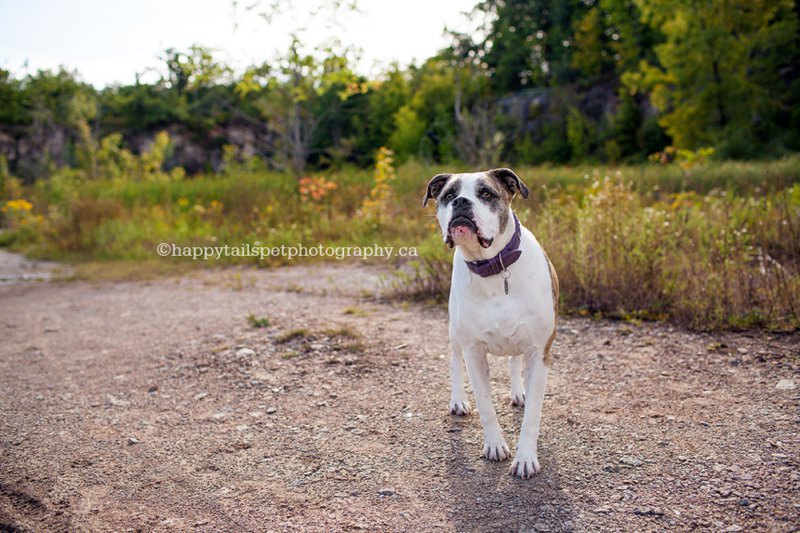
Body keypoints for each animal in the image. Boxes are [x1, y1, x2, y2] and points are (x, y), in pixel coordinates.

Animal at [424, 169, 556, 478]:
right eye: (448, 195)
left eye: (486, 193)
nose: (460, 202)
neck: (494, 268)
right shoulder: (474, 352)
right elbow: (486, 405)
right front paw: (495, 445)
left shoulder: (539, 353)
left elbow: (533, 415)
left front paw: (525, 458)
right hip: (455, 333)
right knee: (454, 362)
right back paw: (458, 400)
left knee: (514, 361)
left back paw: (518, 392)